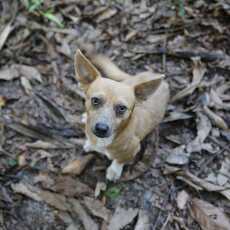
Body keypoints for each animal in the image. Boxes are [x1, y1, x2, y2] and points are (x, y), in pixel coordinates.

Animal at [73, 49, 169, 181]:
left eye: (122, 108)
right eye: (95, 100)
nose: (101, 128)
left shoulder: (132, 150)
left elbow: (119, 160)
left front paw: (114, 171)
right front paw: (90, 144)